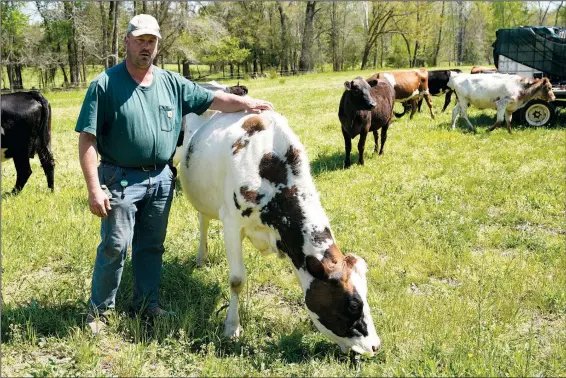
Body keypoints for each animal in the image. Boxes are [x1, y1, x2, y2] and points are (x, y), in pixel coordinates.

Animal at [180, 110, 384, 358]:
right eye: (353, 304)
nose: (375, 346)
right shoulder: (231, 223)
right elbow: (237, 280)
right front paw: (232, 328)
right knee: (203, 222)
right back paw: (201, 257)